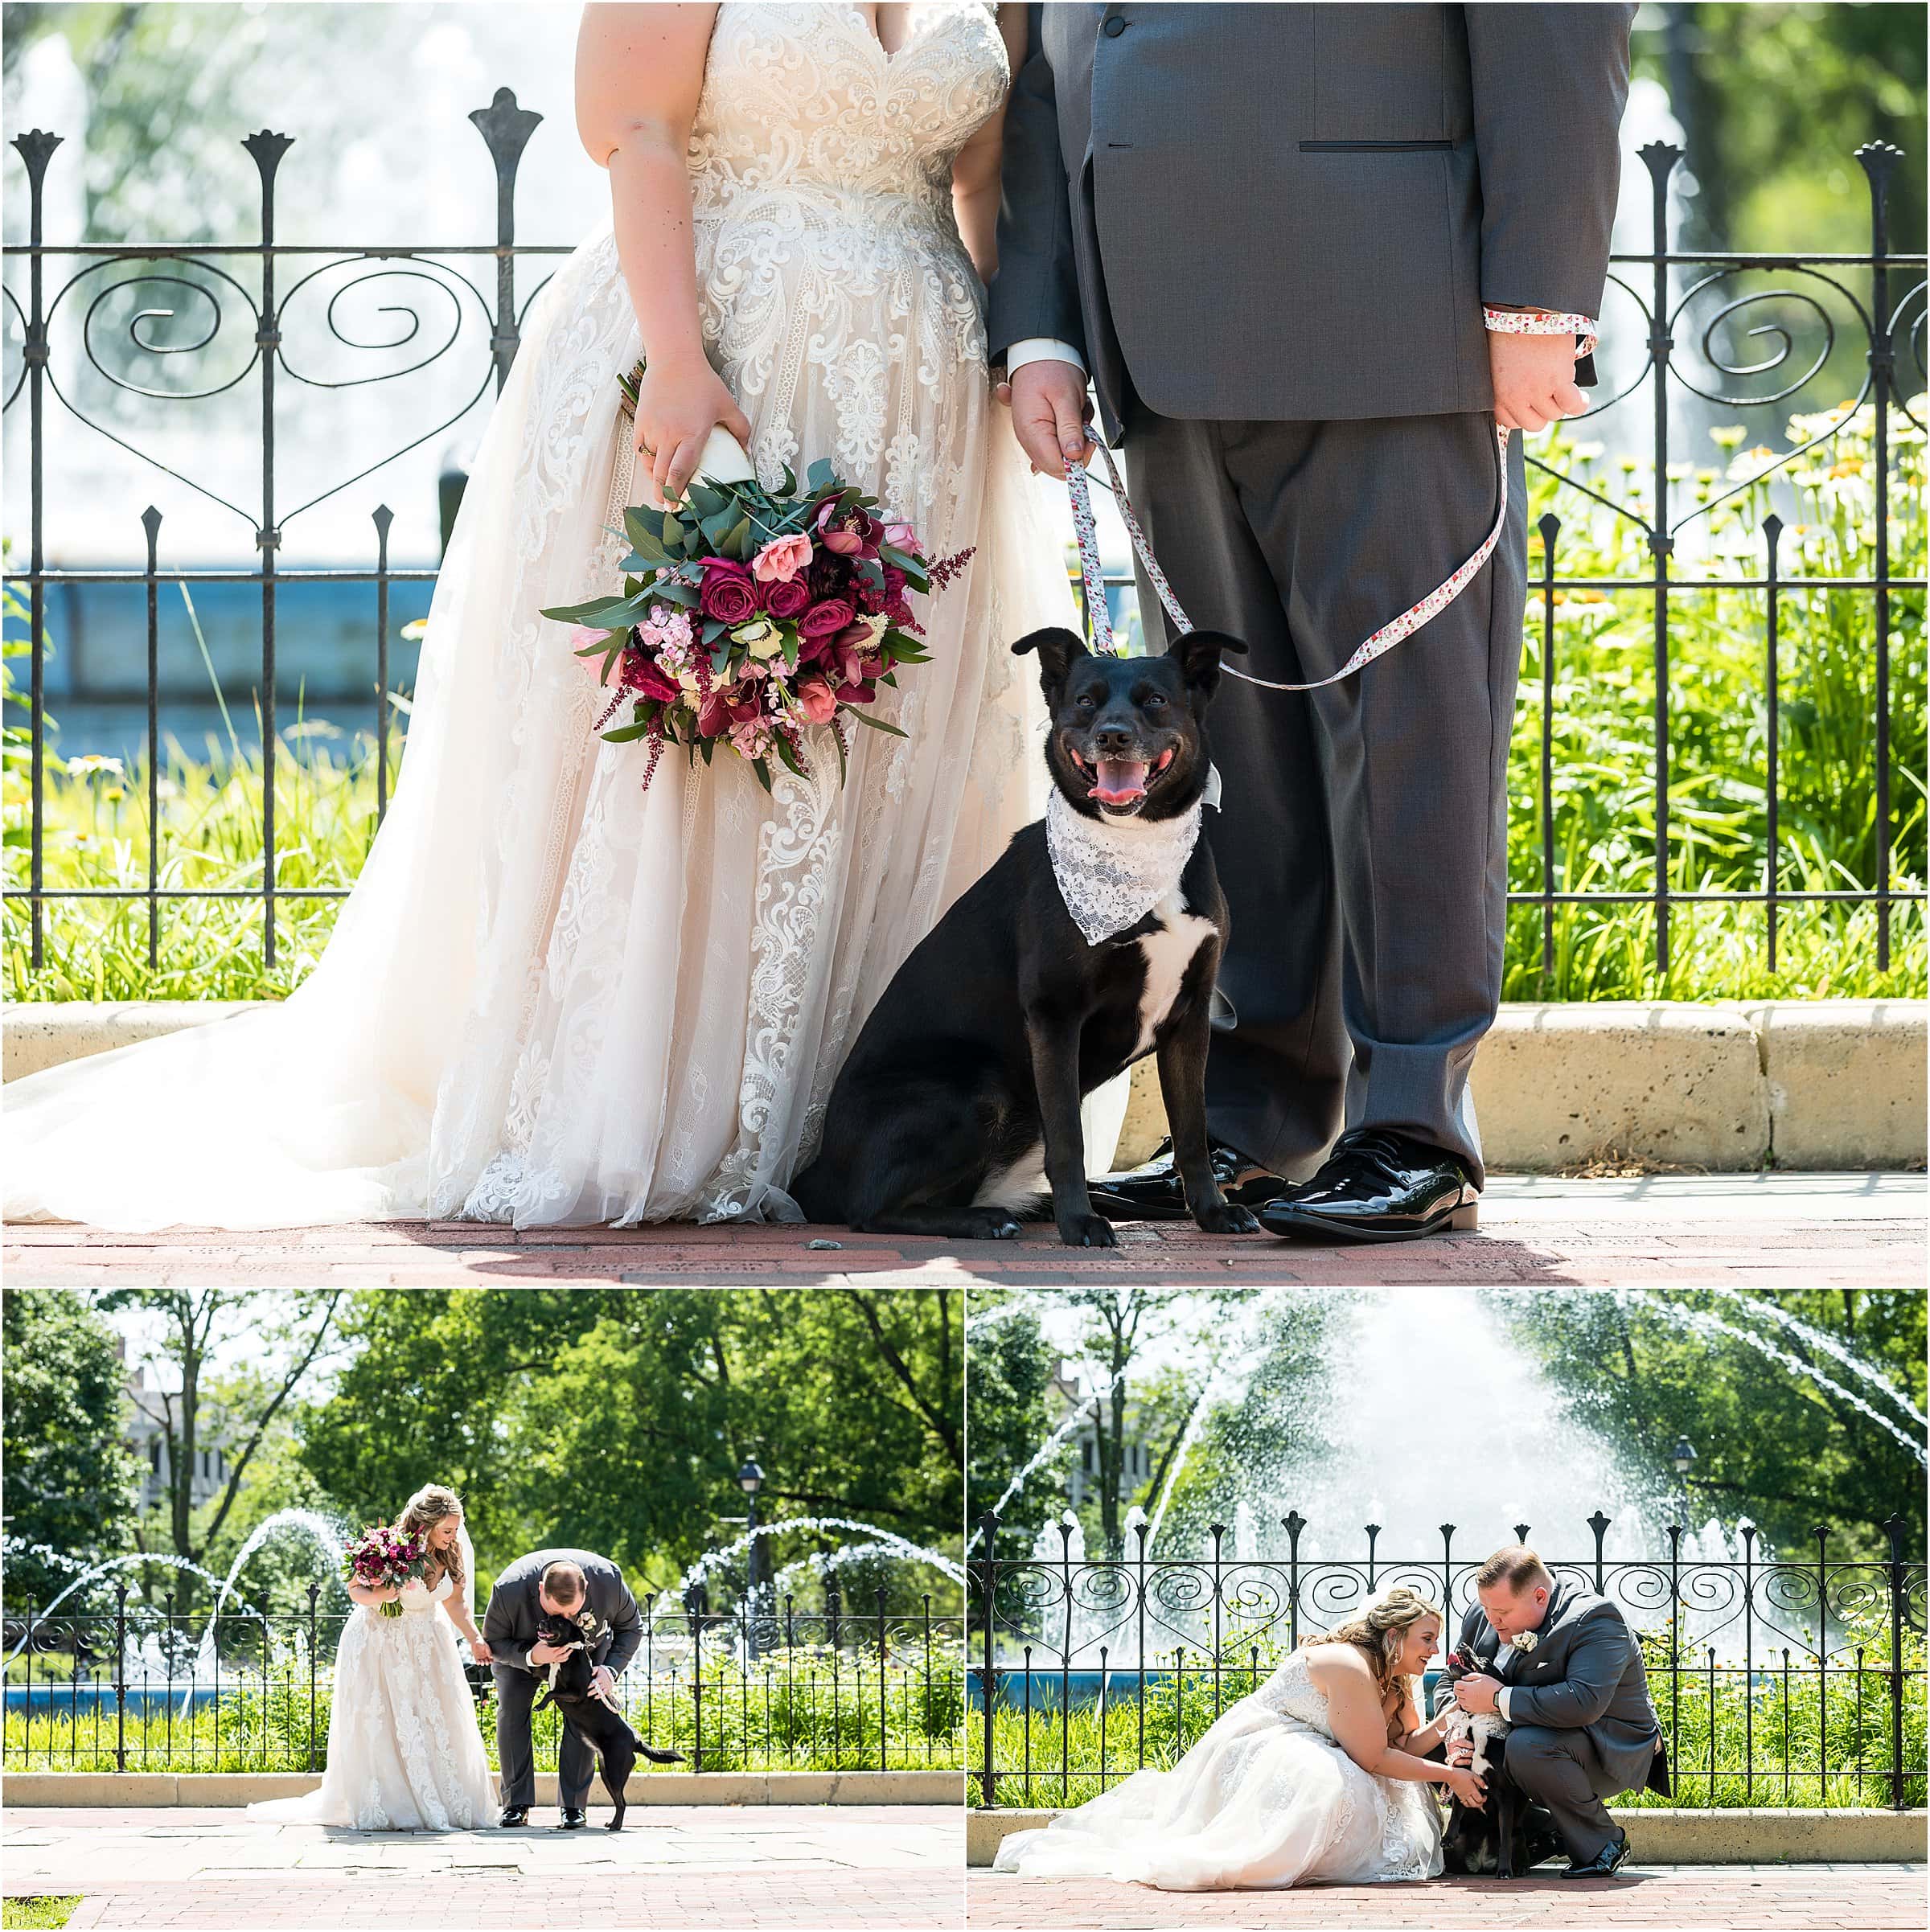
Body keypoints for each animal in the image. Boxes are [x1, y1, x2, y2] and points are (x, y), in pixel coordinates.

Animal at [529, 1607, 680, 1832]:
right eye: (549, 1618)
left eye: (560, 1623)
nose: (541, 1622)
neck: (569, 1653)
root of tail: (636, 1741)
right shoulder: (546, 1672)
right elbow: (538, 1671)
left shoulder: (577, 1693)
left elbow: (551, 1693)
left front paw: (539, 1705)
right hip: (607, 1772)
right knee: (619, 1801)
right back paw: (613, 1823)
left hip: (615, 1772)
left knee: (623, 1802)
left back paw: (616, 1826)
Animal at [791, 626, 1259, 1244]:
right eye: (1085, 701)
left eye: (1156, 699)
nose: (1112, 737)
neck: (1137, 850)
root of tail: (820, 1169)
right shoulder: (1055, 1014)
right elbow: (1067, 1138)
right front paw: (1079, 1222)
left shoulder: (1190, 1017)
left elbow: (1192, 1132)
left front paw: (1211, 1211)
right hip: (975, 1088)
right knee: (869, 1209)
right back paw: (985, 1219)